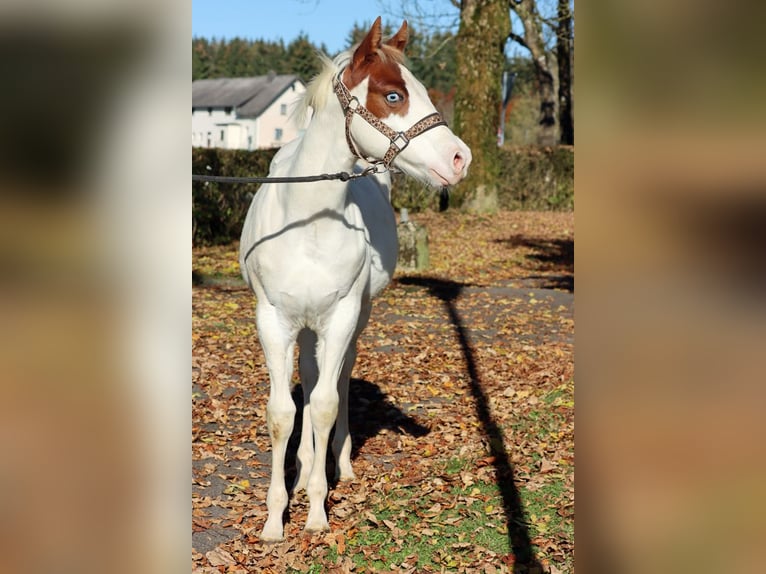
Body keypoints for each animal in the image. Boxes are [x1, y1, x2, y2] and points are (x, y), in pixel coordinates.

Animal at [239, 16, 471, 541]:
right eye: (393, 95)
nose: (459, 159)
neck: (307, 224)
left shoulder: (342, 314)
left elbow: (326, 402)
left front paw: (317, 511)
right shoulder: (273, 321)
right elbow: (282, 412)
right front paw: (275, 519)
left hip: (353, 317)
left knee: (338, 377)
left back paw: (335, 465)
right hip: (305, 326)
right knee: (309, 376)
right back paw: (306, 466)